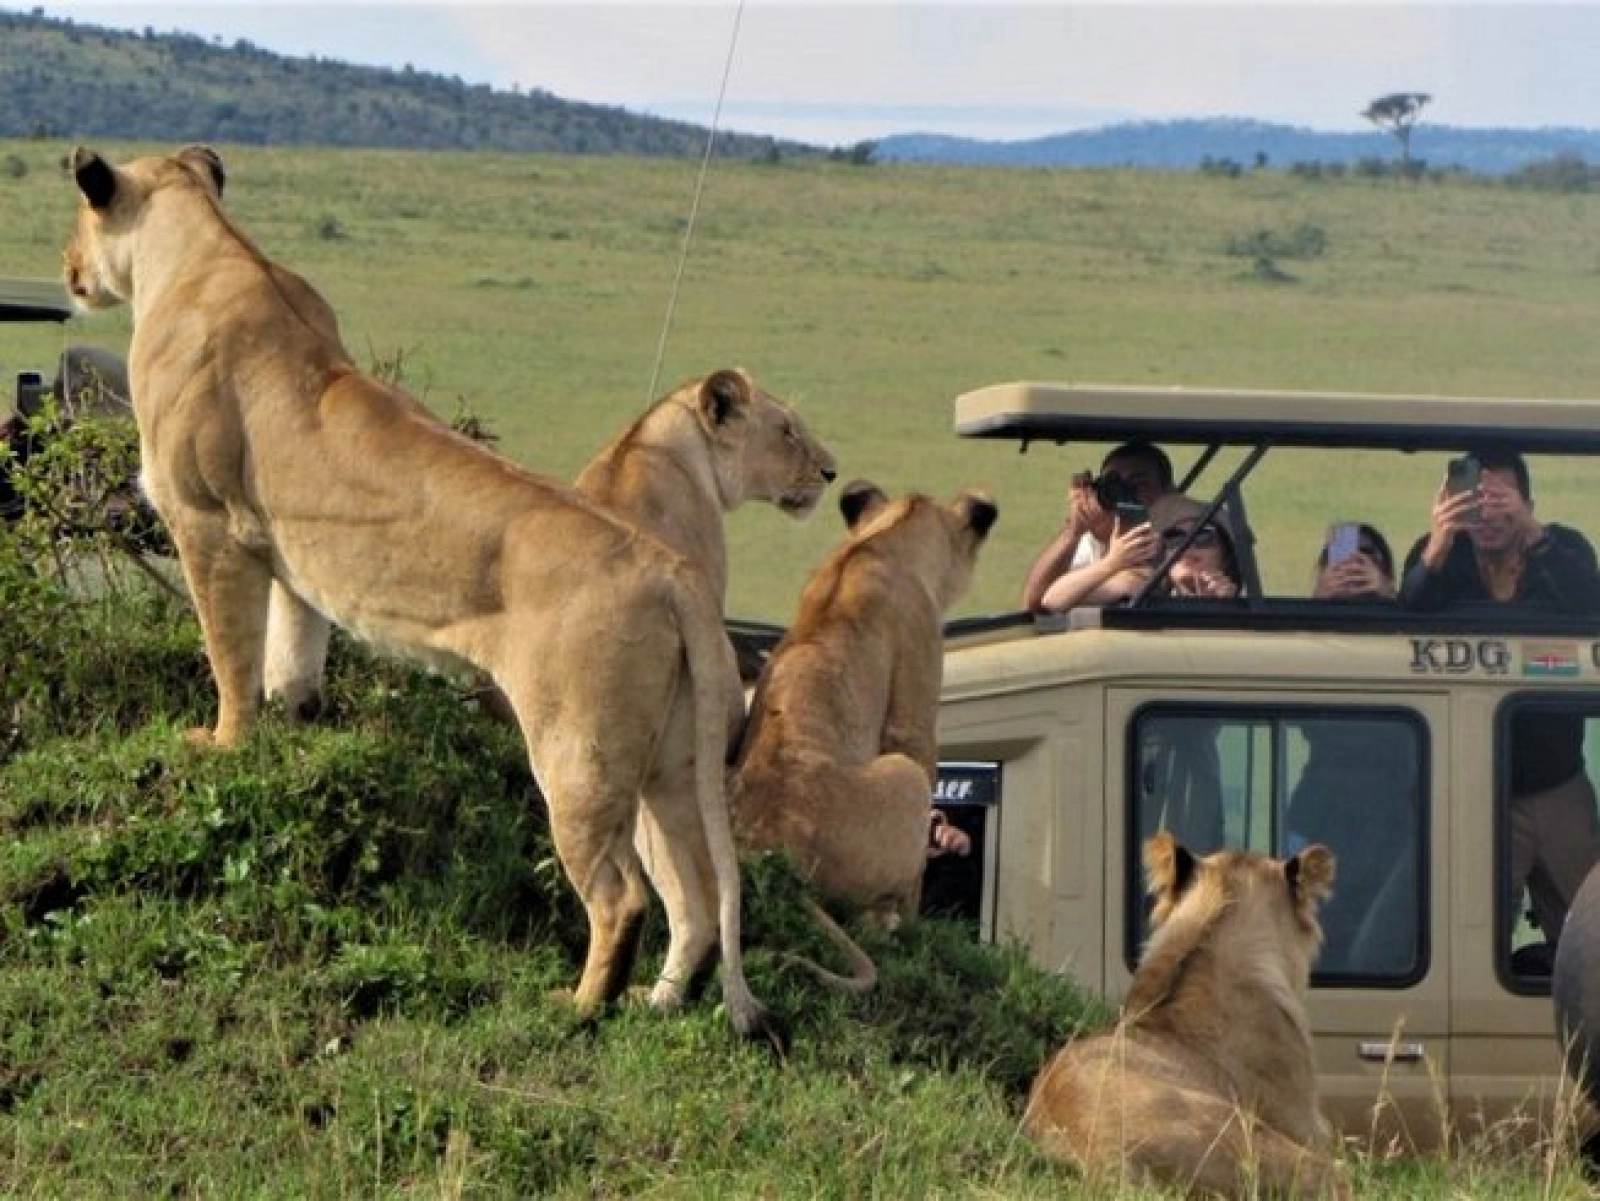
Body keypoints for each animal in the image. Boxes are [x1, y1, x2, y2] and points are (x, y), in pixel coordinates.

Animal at [62, 144, 778, 1045]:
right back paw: (666, 1000)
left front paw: (222, 743)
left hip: (575, 752)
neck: (204, 245)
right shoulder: (290, 553)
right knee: (699, 893)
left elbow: (230, 652)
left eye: (78, 218)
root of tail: (670, 571)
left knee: (622, 895)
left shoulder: (207, 525)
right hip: (676, 762)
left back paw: (578, 1006)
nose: (68, 267)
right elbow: (292, 653)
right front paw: (298, 720)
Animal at [730, 479, 998, 945]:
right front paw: (915, 919)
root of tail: (760, 848)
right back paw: (890, 921)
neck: (883, 538)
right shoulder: (912, 717)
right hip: (904, 778)